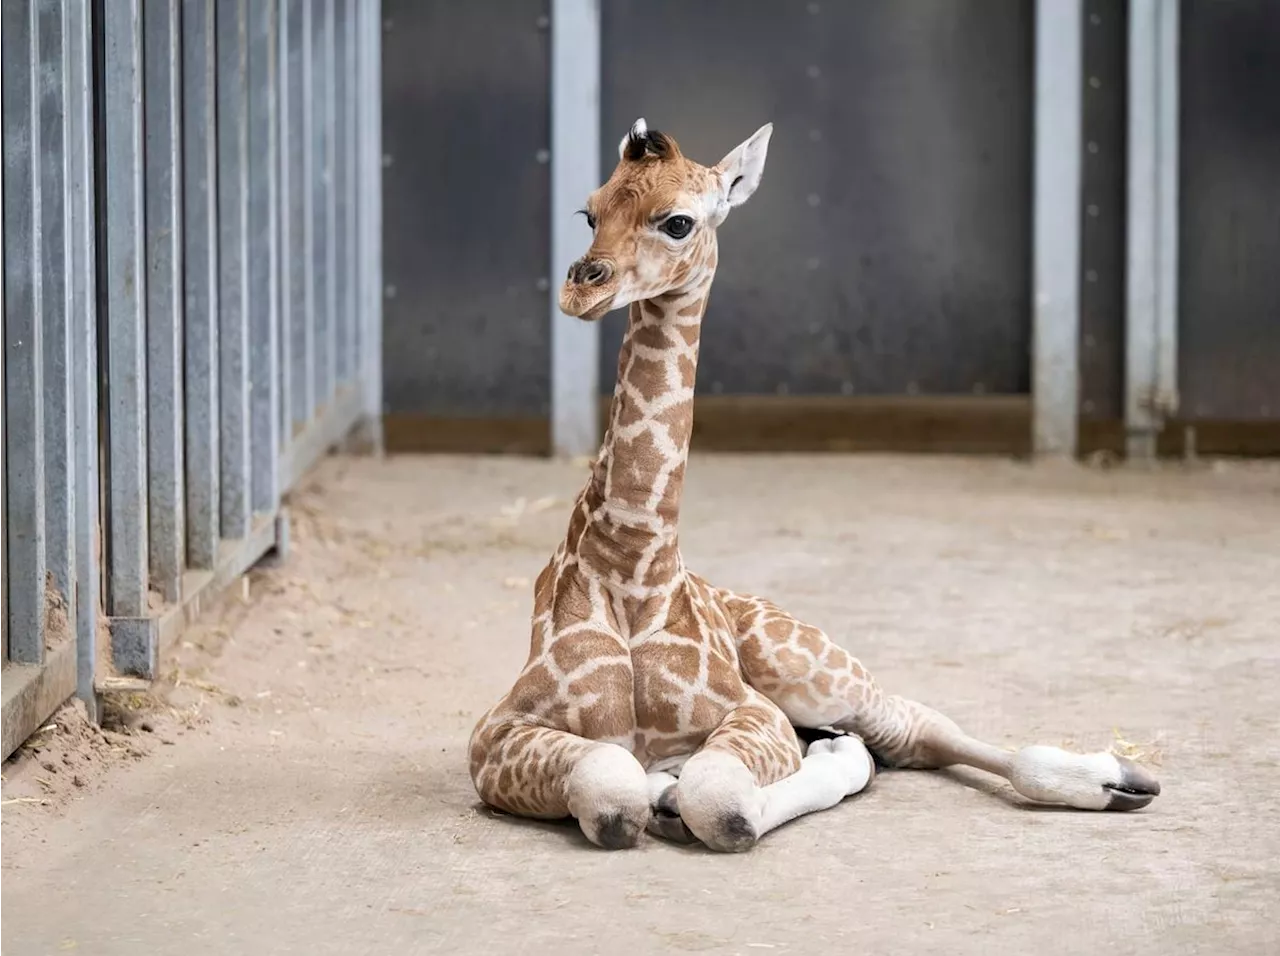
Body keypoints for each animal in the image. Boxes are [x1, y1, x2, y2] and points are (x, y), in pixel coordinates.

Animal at [468, 119, 1162, 854]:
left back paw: (1120, 778)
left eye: (679, 221)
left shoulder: (754, 711)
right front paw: (661, 794)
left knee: (911, 726)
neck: (632, 565)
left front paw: (692, 799)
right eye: (589, 212)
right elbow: (614, 791)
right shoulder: (497, 732)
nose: (581, 288)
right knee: (882, 744)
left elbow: (721, 804)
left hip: (807, 668)